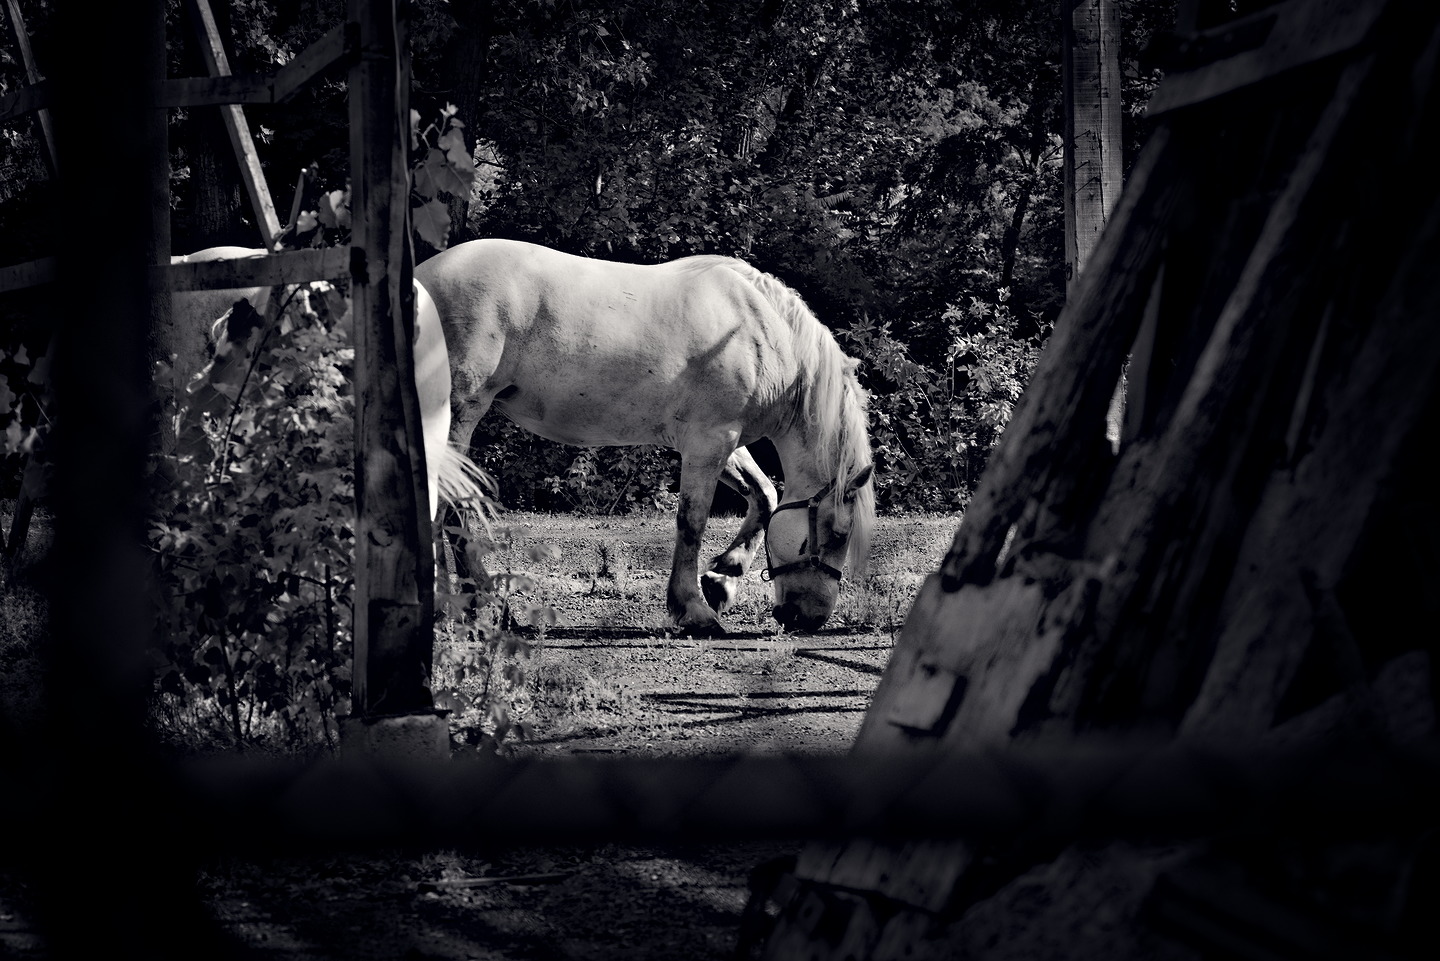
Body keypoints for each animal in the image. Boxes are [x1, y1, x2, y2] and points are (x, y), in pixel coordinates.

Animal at [411, 239, 869, 631]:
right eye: (837, 533)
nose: (811, 619)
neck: (762, 332)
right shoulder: (710, 441)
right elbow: (692, 522)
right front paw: (694, 609)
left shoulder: (722, 441)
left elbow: (765, 495)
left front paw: (724, 578)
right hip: (459, 415)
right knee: (448, 507)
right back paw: (472, 606)